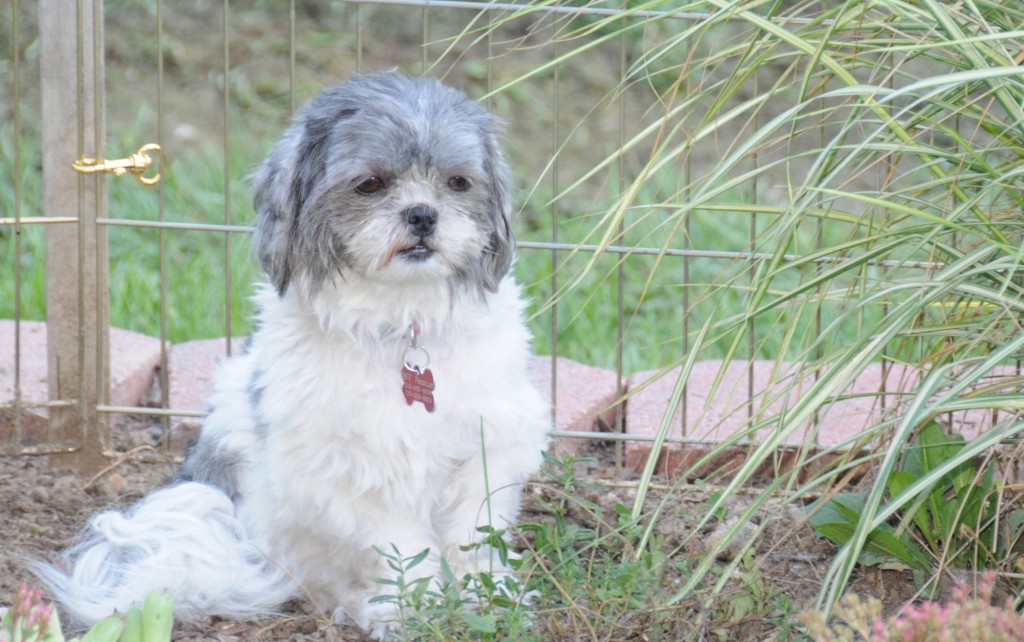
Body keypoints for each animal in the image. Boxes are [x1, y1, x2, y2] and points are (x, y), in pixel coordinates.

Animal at [36, 71, 552, 638]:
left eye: (458, 183)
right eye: (370, 184)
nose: (422, 213)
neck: (402, 324)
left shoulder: (486, 447)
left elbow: (474, 538)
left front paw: (491, 600)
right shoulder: (356, 472)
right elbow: (401, 549)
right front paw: (411, 609)